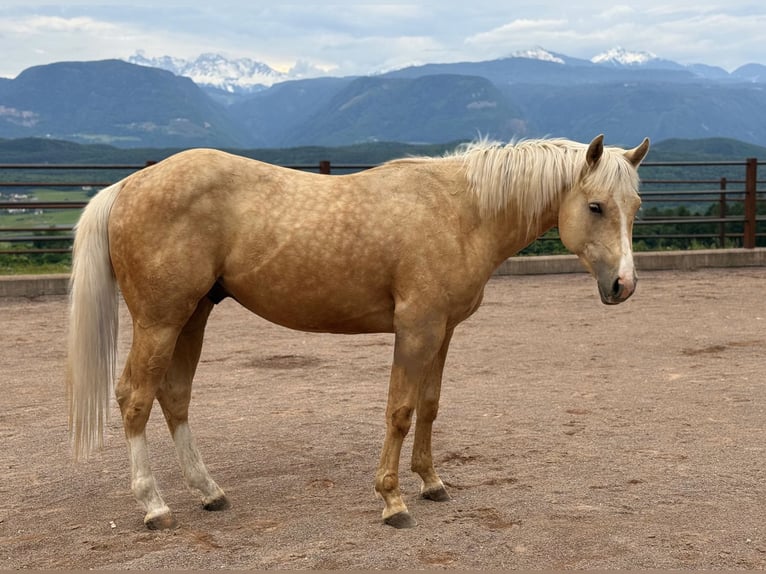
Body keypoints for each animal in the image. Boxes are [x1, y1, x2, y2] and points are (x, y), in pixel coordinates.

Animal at [66, 134, 649, 530]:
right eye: (595, 205)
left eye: (635, 206)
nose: (623, 285)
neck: (461, 212)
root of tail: (128, 185)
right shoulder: (415, 329)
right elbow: (399, 411)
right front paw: (392, 501)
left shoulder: (443, 333)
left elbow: (429, 406)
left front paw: (431, 483)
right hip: (160, 320)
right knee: (135, 398)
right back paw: (155, 506)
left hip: (192, 316)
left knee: (175, 396)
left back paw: (209, 492)